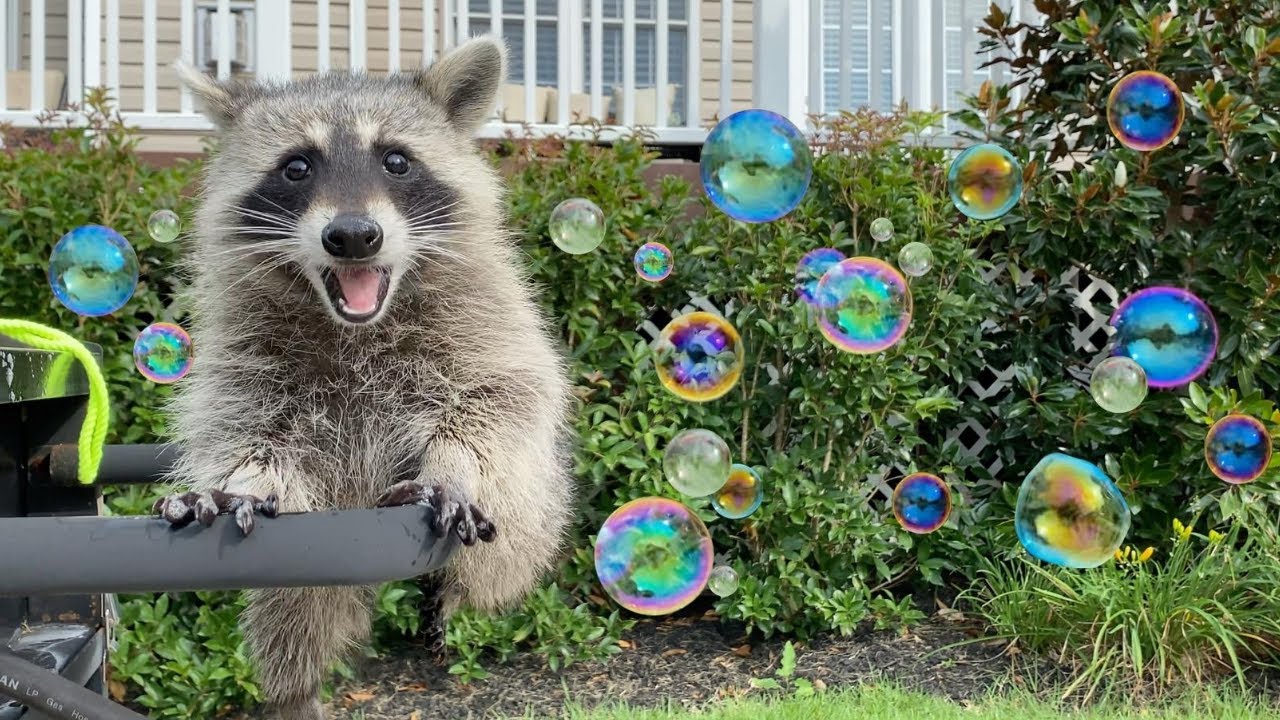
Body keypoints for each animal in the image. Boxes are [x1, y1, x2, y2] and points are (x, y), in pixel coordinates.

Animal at [151, 37, 575, 720]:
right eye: (296, 167)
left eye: (396, 160)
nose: (352, 236)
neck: (356, 325)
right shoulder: (247, 356)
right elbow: (243, 425)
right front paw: (243, 481)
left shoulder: (490, 325)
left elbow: (500, 399)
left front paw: (451, 466)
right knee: (296, 614)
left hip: (532, 524)